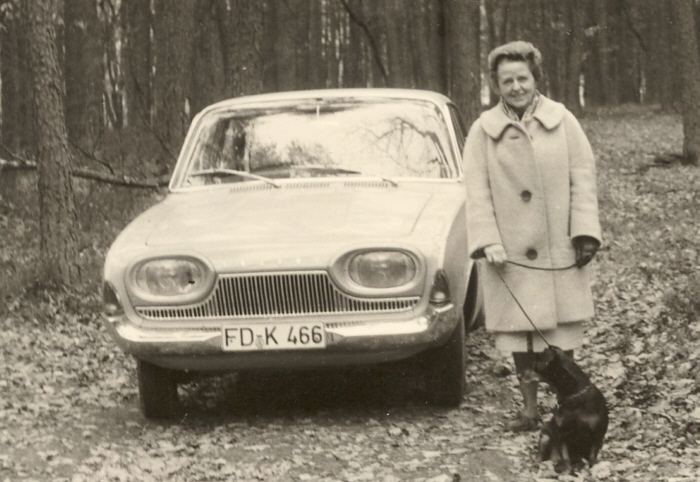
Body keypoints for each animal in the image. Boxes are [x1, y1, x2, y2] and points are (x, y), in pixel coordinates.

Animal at [530, 346, 609, 474]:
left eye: (535, 366)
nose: (519, 375)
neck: (574, 396)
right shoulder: (562, 431)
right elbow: (565, 455)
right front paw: (566, 470)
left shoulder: (598, 431)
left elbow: (593, 453)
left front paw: (593, 466)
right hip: (545, 434)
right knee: (540, 454)